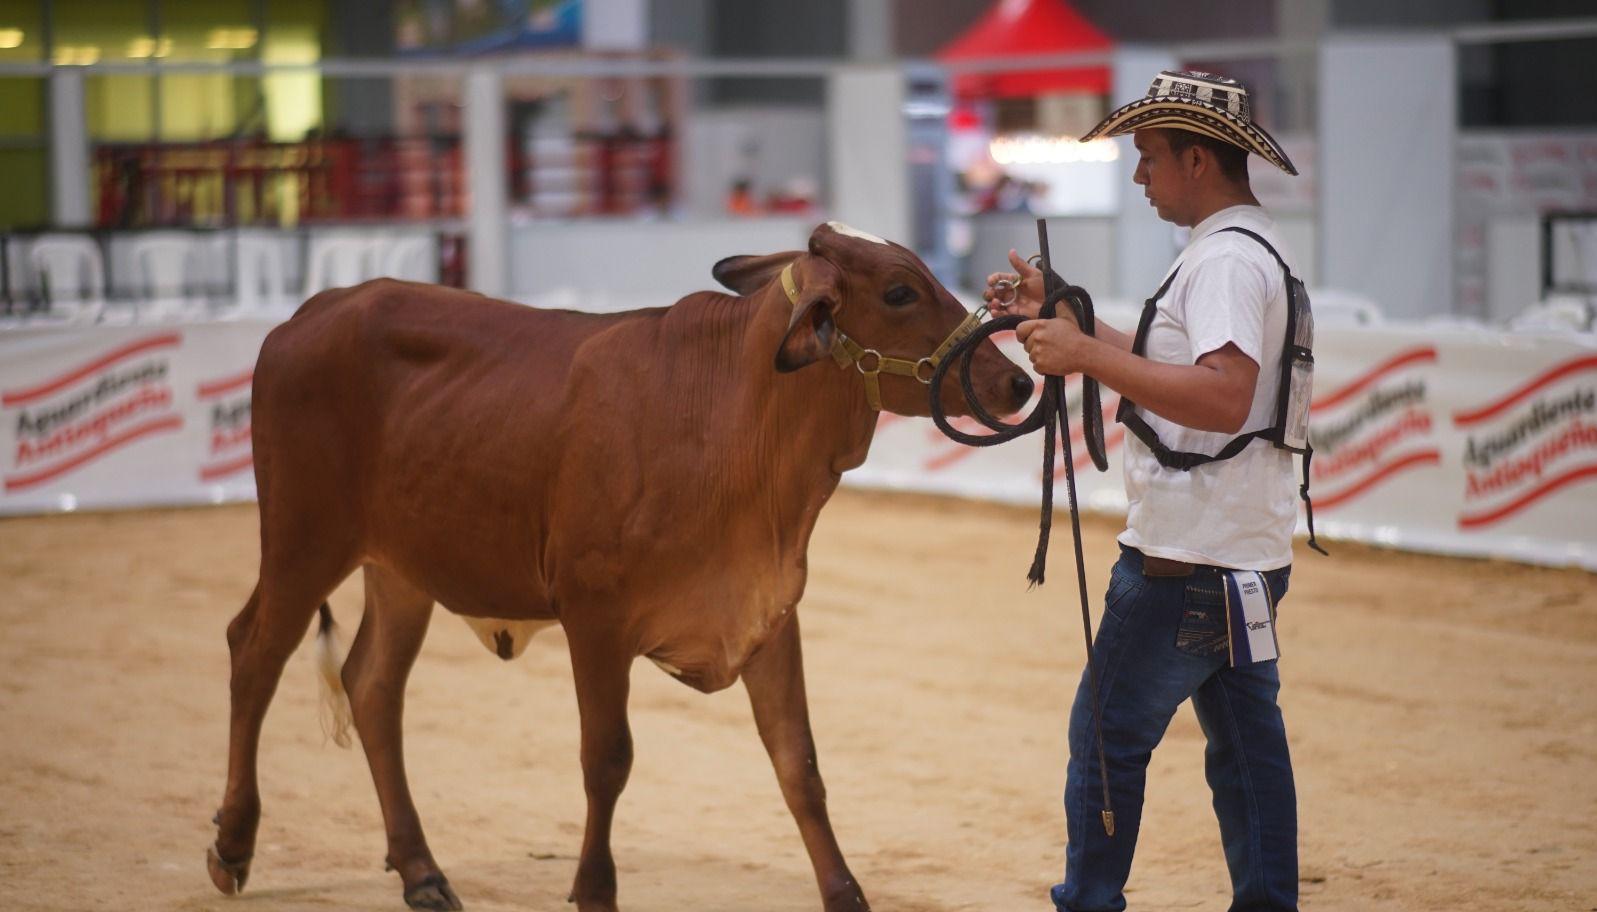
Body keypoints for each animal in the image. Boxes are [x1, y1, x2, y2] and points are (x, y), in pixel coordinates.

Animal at [206, 223, 1028, 912]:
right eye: (899, 291)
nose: (1018, 383)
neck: (733, 420)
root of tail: (314, 310)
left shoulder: (767, 610)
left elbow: (799, 763)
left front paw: (845, 895)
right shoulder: (594, 619)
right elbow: (607, 759)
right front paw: (594, 890)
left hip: (404, 566)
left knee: (372, 685)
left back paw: (422, 872)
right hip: (304, 537)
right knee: (254, 650)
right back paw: (233, 844)